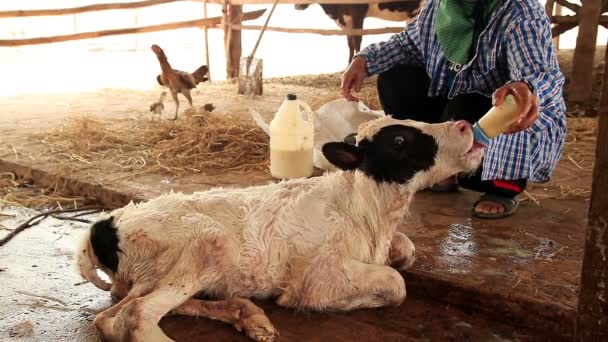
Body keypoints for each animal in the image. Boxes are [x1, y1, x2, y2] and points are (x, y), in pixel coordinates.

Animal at [77, 116, 484, 340]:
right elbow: (396, 284)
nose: (466, 124)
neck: (363, 210)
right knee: (130, 318)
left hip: (153, 275)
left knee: (117, 312)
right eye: (399, 140)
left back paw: (247, 316)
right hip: (208, 242)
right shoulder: (321, 276)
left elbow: (406, 251)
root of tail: (102, 226)